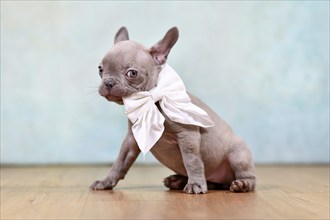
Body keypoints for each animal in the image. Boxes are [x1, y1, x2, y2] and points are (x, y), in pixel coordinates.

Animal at [91, 26, 258, 193]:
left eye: (132, 73)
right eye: (100, 69)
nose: (109, 82)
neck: (152, 103)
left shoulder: (188, 136)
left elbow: (191, 161)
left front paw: (195, 184)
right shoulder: (132, 141)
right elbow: (120, 162)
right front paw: (106, 182)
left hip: (238, 156)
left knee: (248, 178)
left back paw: (242, 184)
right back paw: (178, 181)